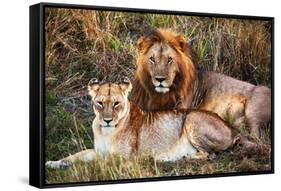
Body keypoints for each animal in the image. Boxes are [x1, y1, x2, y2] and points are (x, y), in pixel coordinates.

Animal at [45, 78, 256, 169]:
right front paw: (55, 163)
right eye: (100, 103)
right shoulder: (97, 150)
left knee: (210, 155)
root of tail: (232, 128)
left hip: (191, 118)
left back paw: (174, 158)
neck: (105, 131)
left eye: (116, 104)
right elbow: (77, 155)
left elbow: (98, 163)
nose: (107, 120)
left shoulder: (123, 158)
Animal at [132, 28, 270, 138]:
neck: (160, 95)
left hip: (255, 107)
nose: (160, 79)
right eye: (152, 59)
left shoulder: (182, 108)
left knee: (256, 136)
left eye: (170, 59)